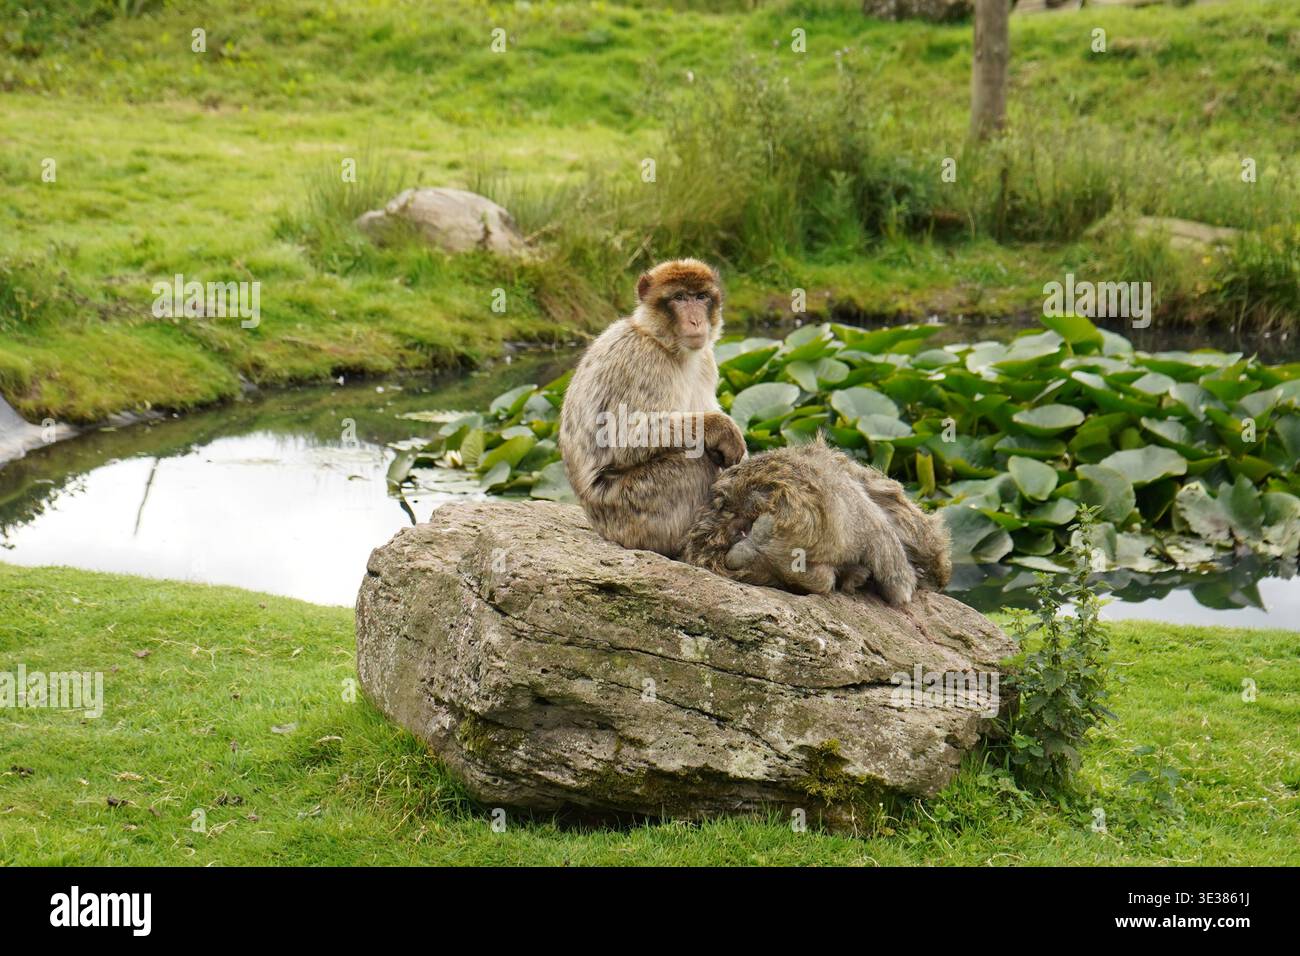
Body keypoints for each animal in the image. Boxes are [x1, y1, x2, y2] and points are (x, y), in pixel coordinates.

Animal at [559, 258, 747, 557]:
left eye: (700, 297)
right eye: (679, 297)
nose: (696, 320)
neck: (663, 341)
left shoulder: (706, 359)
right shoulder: (640, 361)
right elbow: (625, 438)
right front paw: (721, 429)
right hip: (630, 511)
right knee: (693, 461)